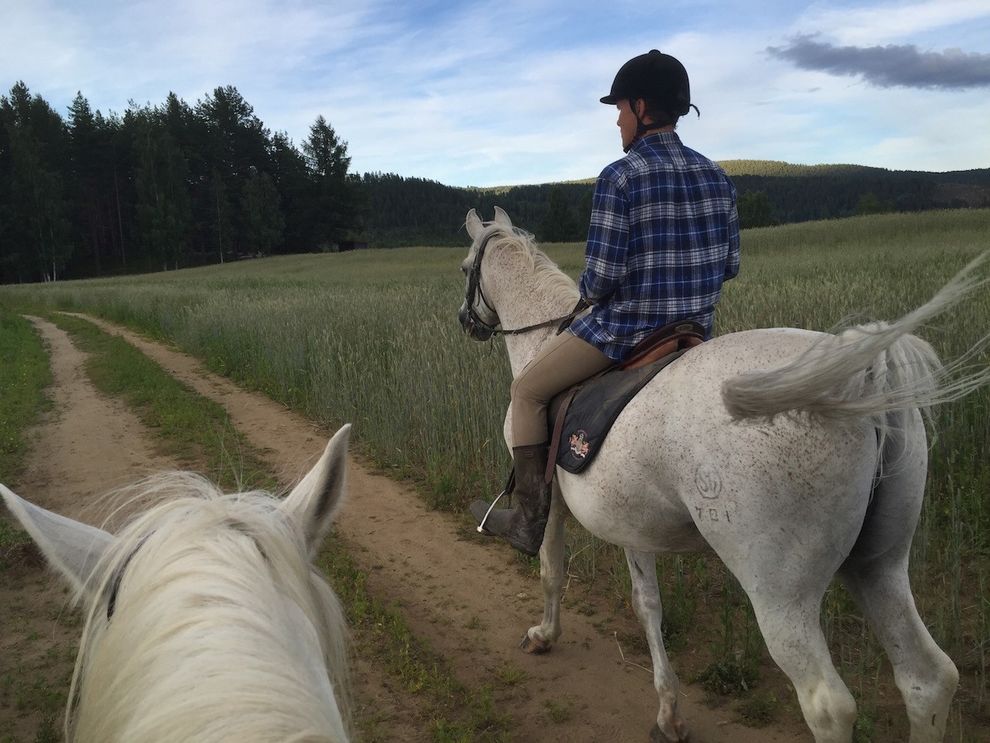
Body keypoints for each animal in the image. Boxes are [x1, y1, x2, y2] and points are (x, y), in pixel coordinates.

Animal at [462, 208, 988, 743]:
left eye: (466, 268)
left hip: (781, 593)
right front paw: (669, 714)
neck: (542, 337)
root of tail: (859, 375)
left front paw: (544, 636)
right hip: (879, 565)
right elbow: (646, 605)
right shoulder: (628, 521)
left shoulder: (551, 506)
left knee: (829, 706)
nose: (465, 321)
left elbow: (551, 570)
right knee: (927, 678)